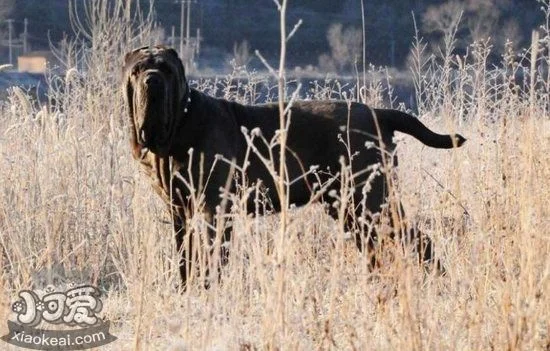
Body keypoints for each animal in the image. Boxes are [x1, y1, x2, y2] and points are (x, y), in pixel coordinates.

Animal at [124, 46, 466, 286]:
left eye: (166, 70)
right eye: (137, 69)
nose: (152, 79)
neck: (179, 125)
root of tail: (378, 114)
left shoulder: (215, 207)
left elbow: (212, 255)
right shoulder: (179, 211)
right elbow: (185, 257)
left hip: (371, 201)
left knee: (418, 240)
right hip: (349, 208)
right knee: (377, 249)